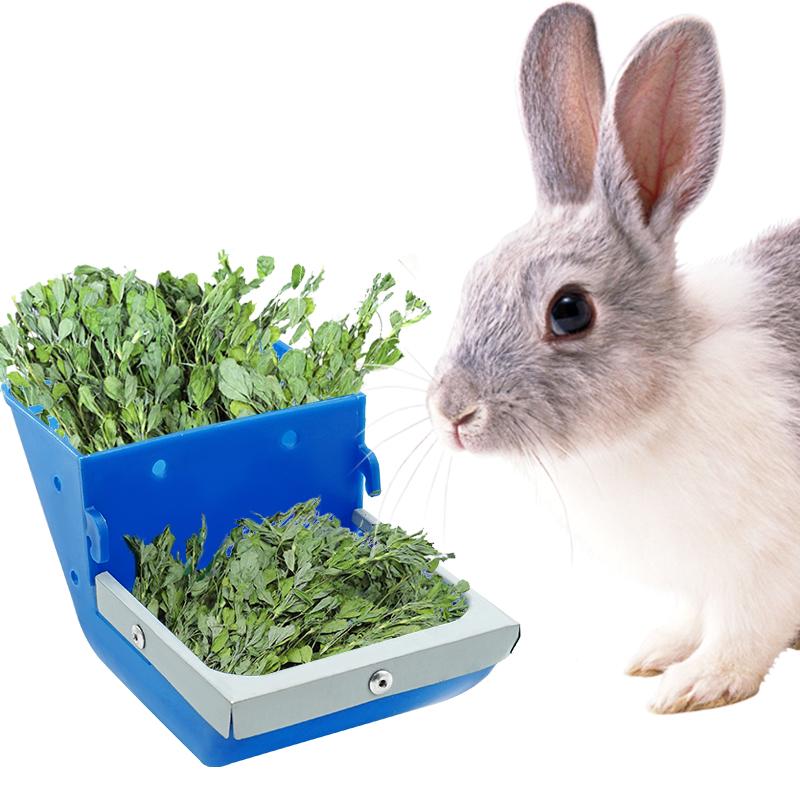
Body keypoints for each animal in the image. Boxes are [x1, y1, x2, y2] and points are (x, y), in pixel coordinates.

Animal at [427, 2, 800, 713]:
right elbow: (692, 619)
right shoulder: (700, 578)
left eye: (569, 310)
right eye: (476, 278)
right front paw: (654, 655)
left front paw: (694, 686)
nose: (451, 412)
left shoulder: (762, 568)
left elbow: (740, 635)